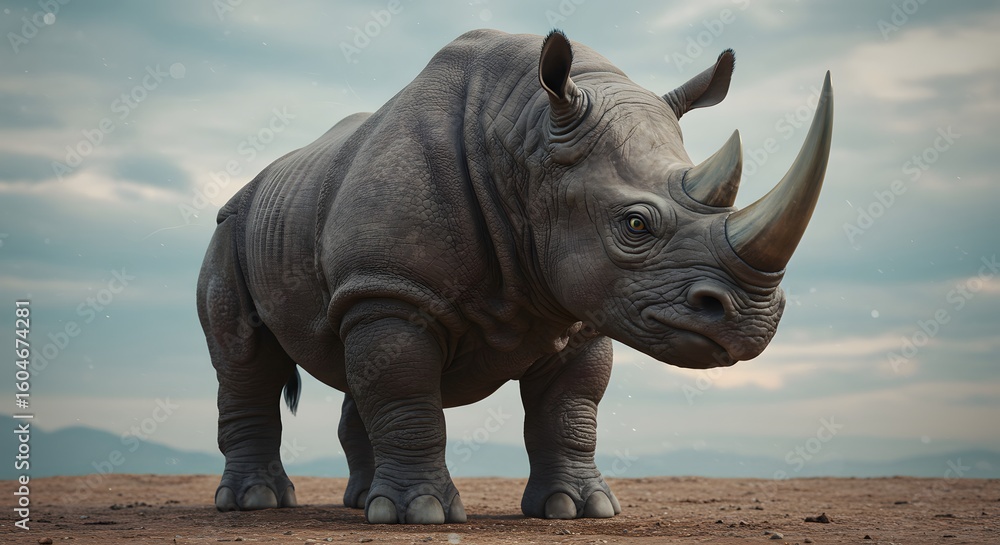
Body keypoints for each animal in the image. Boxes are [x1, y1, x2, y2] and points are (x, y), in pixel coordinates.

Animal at [196, 29, 832, 524]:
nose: (751, 321)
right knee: (246, 356)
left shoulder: (581, 305)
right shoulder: (394, 286)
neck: (525, 137)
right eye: (635, 225)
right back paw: (257, 503)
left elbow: (572, 409)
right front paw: (420, 514)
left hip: (329, 247)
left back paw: (361, 503)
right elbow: (406, 392)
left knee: (356, 365)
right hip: (234, 228)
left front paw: (579, 509)